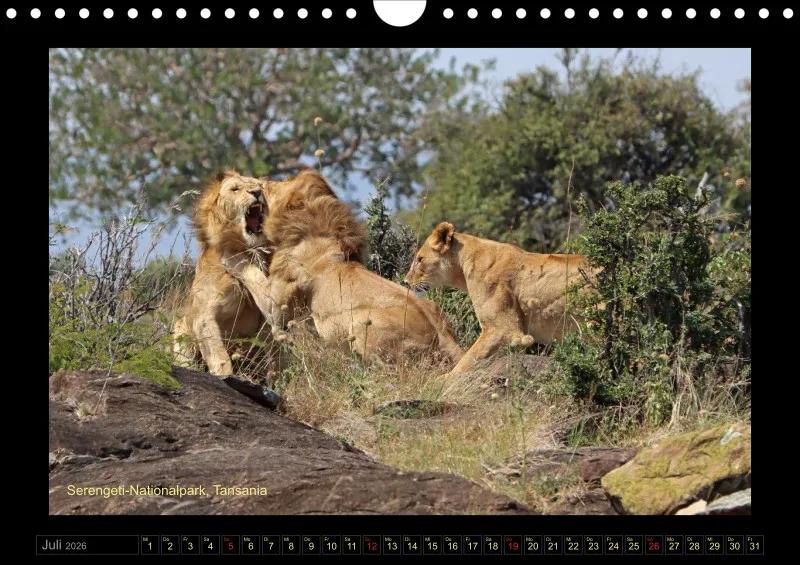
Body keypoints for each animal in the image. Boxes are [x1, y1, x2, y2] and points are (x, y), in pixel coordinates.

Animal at [173, 170, 282, 378]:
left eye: (259, 186)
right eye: (235, 189)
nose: (256, 192)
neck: (249, 249)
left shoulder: (269, 320)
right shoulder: (204, 317)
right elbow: (218, 354)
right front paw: (224, 375)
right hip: (180, 330)